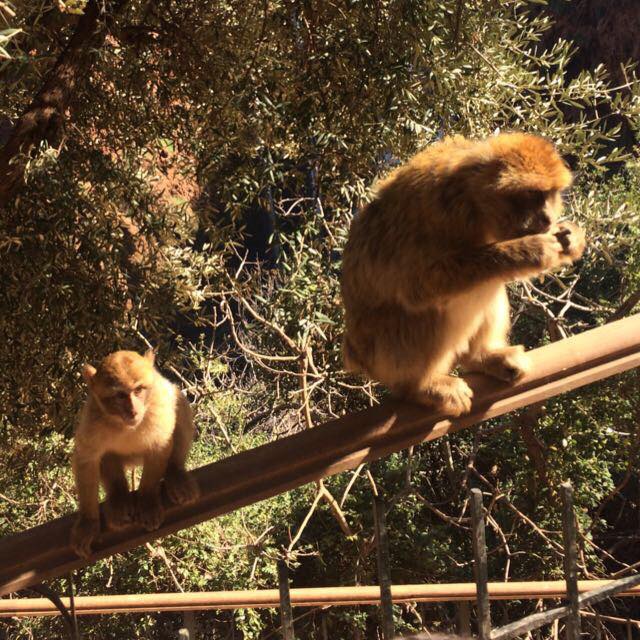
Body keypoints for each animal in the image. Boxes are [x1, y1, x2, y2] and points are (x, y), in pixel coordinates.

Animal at [70, 349, 200, 558]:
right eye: (120, 395)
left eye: (138, 390)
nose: (133, 410)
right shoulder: (93, 419)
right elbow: (86, 459)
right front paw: (88, 523)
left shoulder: (158, 406)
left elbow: (159, 445)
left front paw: (147, 501)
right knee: (106, 455)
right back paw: (119, 497)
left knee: (179, 405)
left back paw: (175, 473)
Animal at [341, 132, 585, 416]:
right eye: (532, 194)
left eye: (550, 194)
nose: (546, 218)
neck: (473, 201)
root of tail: (355, 355)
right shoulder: (438, 211)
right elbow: (418, 286)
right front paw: (528, 249)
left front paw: (571, 236)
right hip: (383, 349)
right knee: (441, 305)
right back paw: (419, 386)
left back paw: (481, 356)